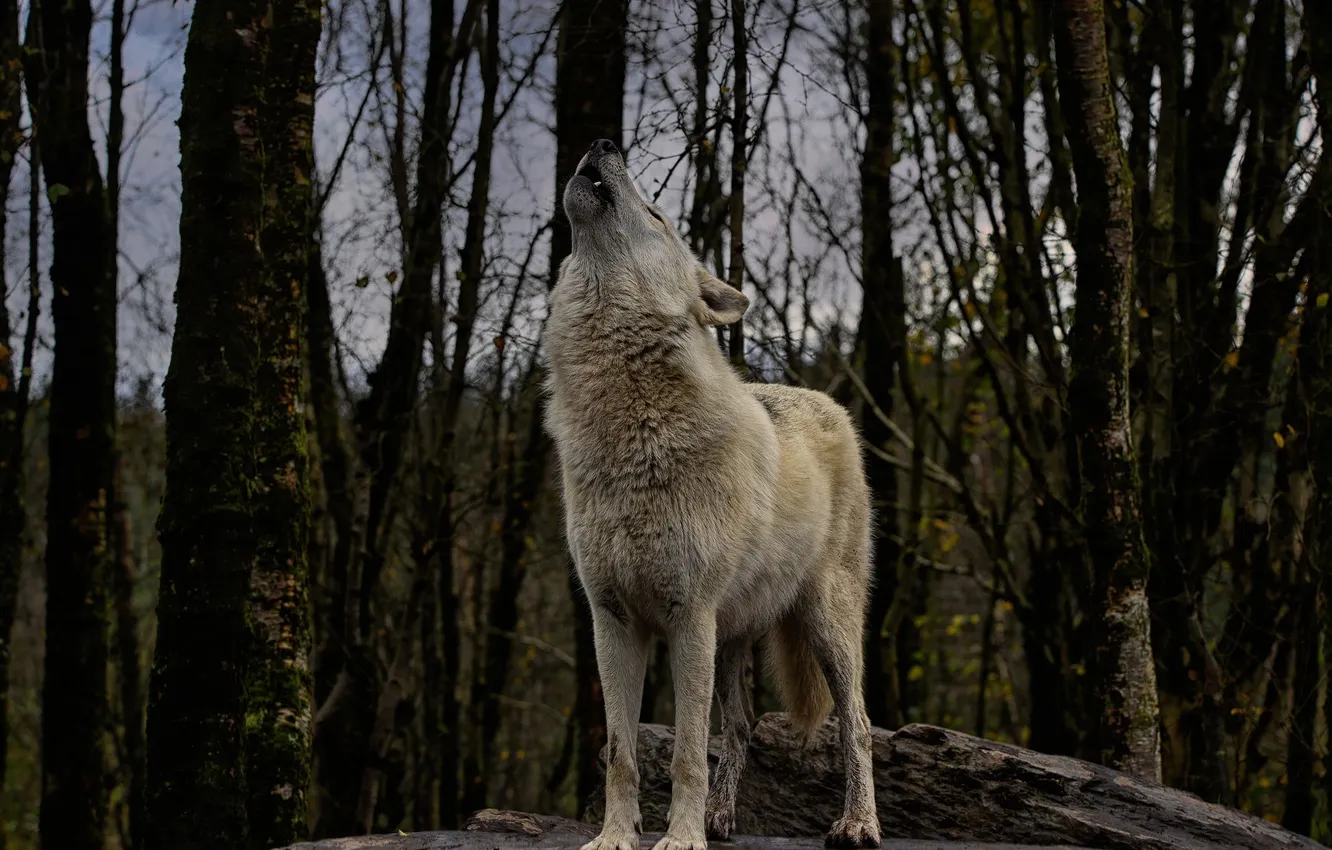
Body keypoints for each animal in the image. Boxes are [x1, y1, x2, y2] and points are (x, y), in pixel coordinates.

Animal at [544, 138, 881, 850]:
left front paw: (679, 838)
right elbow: (622, 752)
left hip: (826, 622)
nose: (604, 143)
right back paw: (724, 818)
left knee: (857, 725)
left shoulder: (688, 617)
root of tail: (827, 401)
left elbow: (685, 753)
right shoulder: (612, 620)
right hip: (732, 638)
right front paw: (616, 837)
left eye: (656, 214)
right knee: (743, 725)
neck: (632, 433)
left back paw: (858, 824)